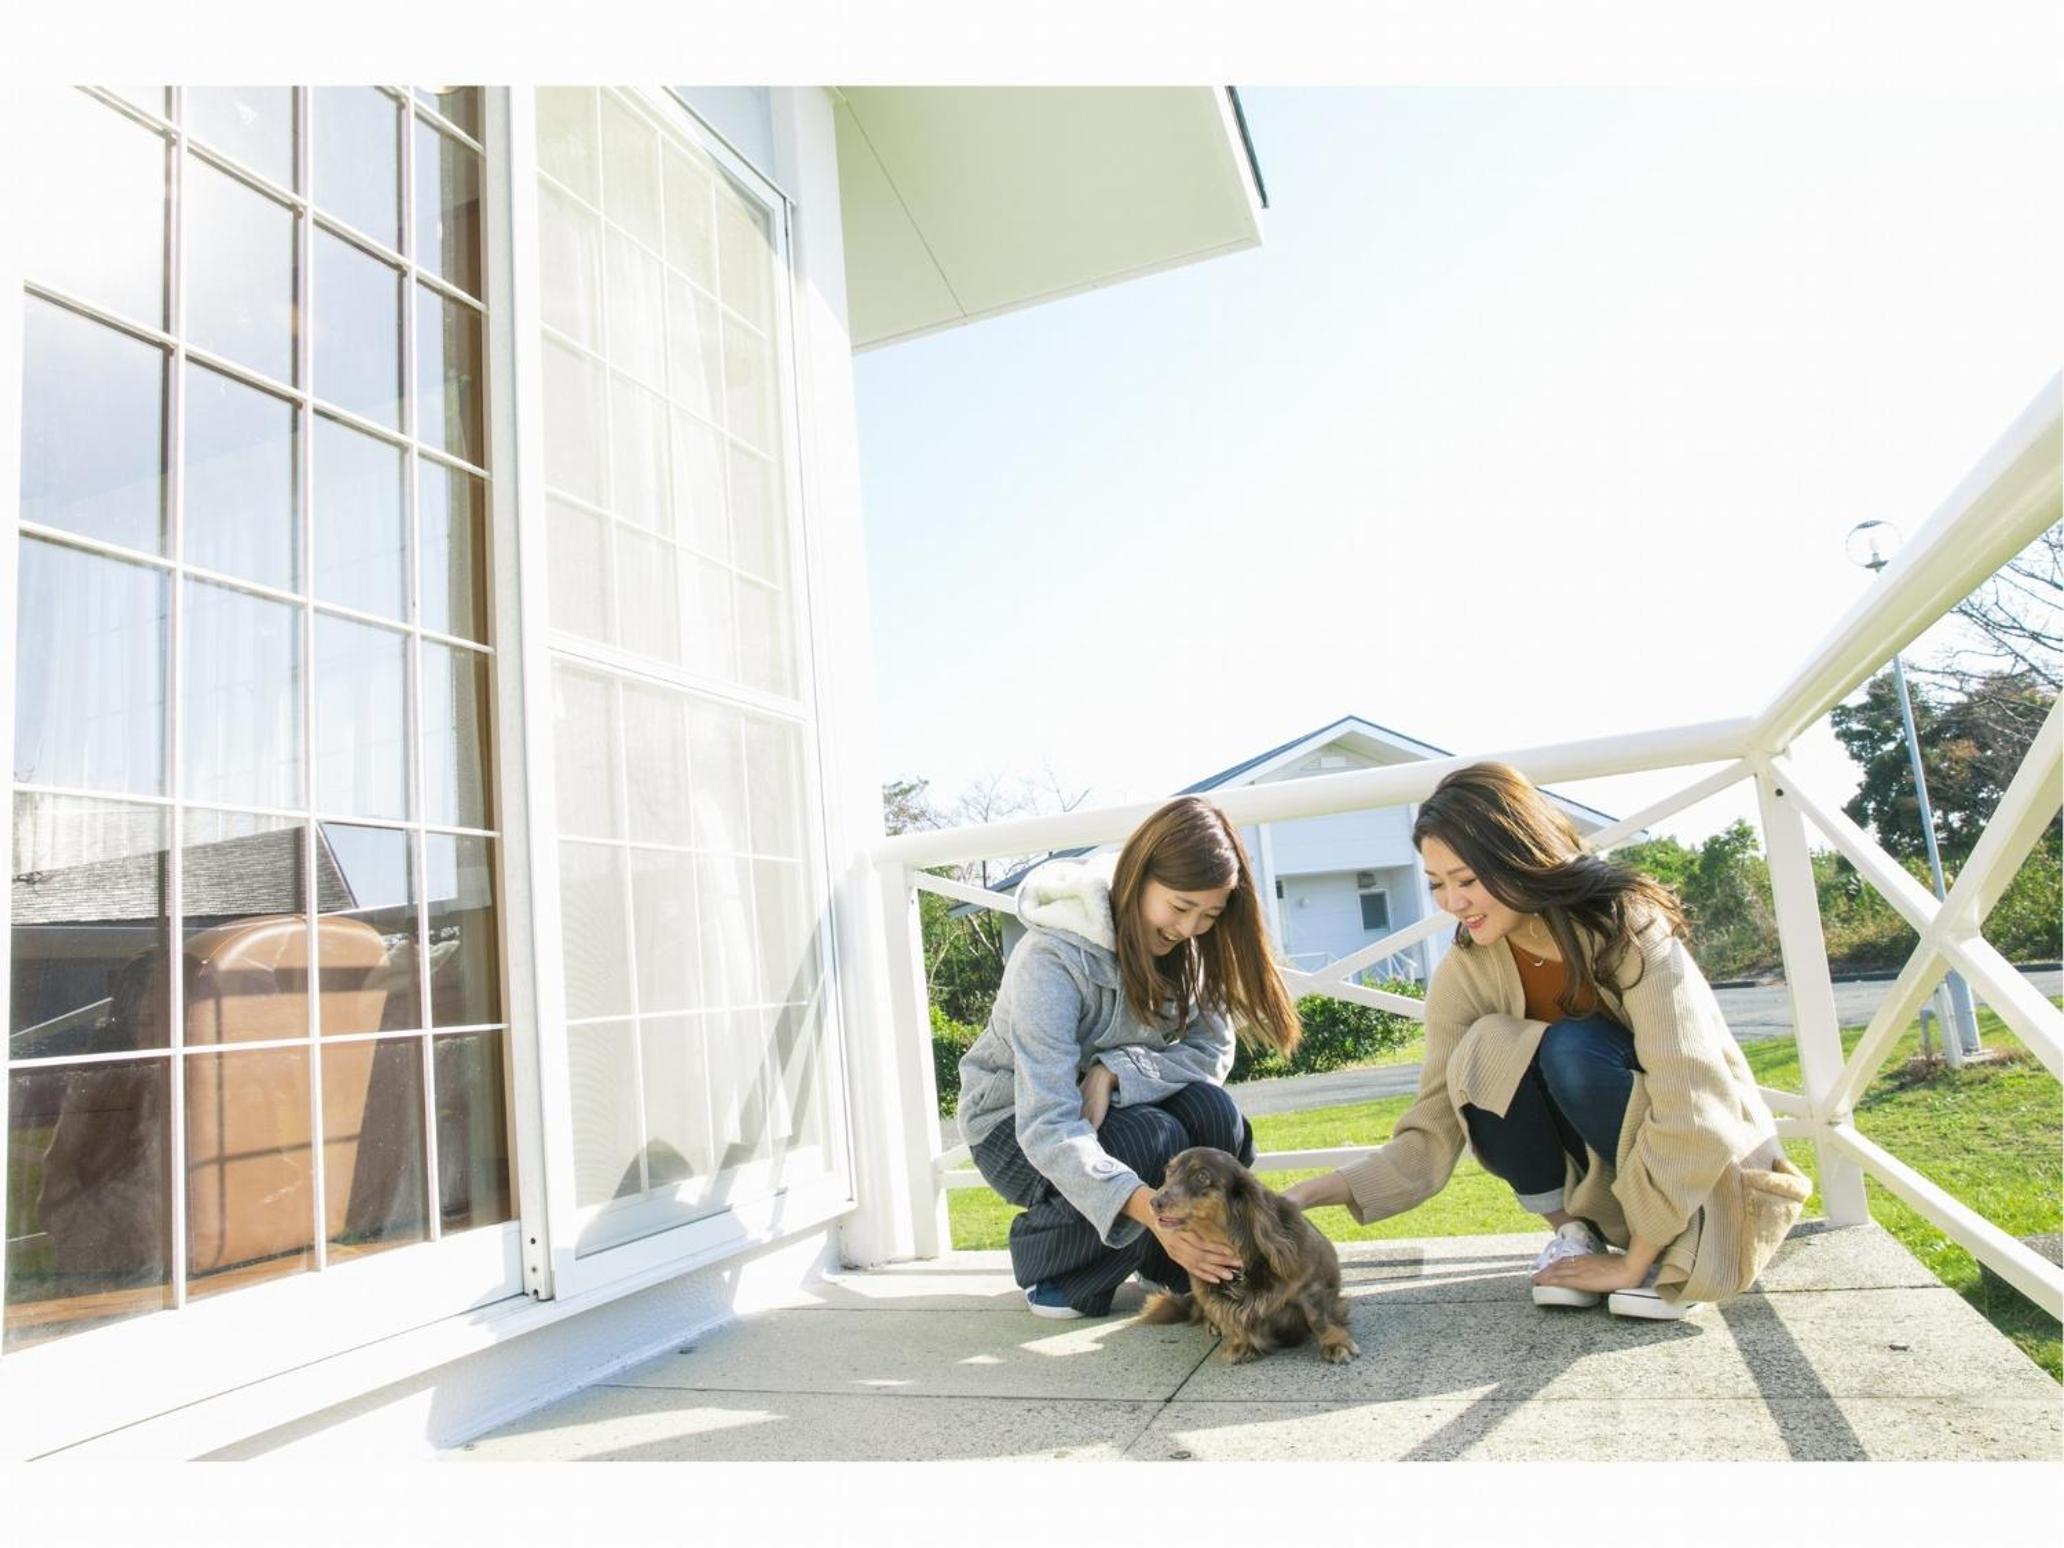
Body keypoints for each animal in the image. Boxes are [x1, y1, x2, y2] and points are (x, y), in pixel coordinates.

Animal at [1139, 1145, 1359, 1364]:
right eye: (1169, 1171)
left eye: (1201, 1176)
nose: (1154, 1202)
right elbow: (1233, 1319)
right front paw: (1241, 1344)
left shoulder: (1311, 1286)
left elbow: (1319, 1317)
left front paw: (1336, 1343)